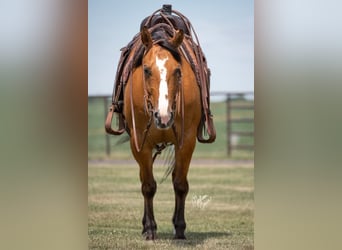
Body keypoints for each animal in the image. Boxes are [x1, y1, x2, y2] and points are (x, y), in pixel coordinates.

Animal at [123, 25, 202, 240]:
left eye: (178, 70)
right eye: (146, 70)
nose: (163, 117)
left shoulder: (187, 142)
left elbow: (180, 184)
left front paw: (180, 228)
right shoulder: (139, 144)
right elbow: (148, 186)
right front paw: (150, 228)